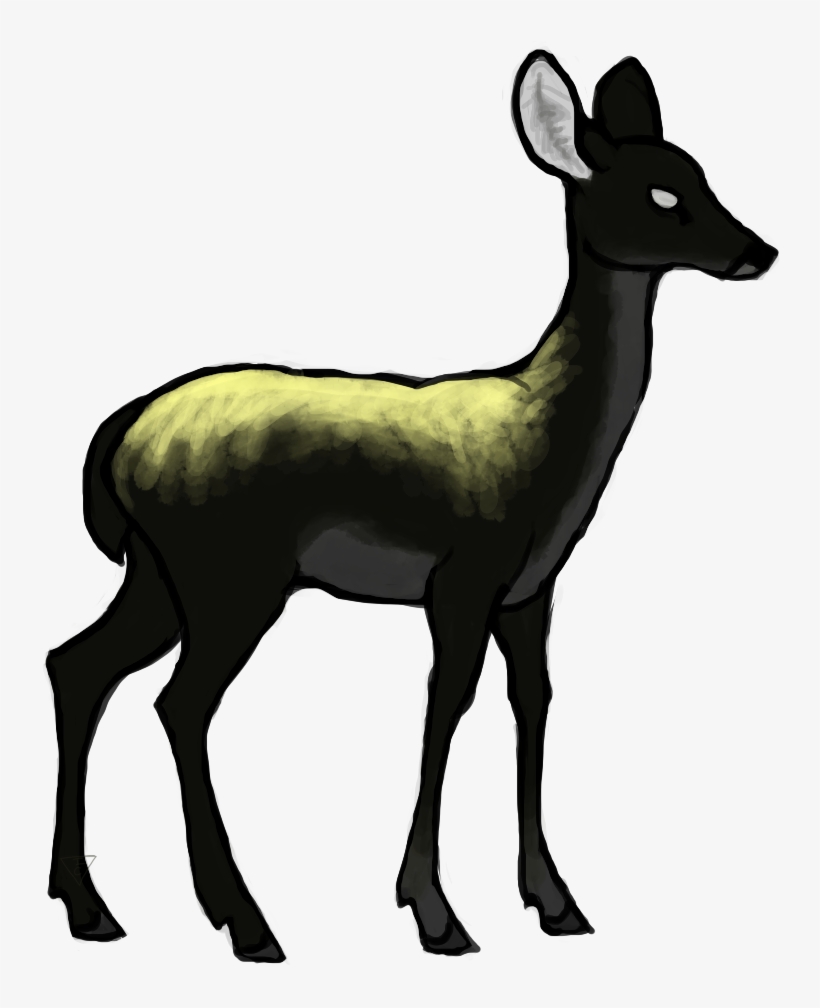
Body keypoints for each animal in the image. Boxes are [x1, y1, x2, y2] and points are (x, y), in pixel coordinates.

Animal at [47, 51, 777, 961]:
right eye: (662, 195)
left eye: (700, 173)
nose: (760, 251)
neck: (543, 435)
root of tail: (120, 434)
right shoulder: (463, 578)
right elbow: (444, 706)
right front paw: (436, 914)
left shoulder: (530, 590)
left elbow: (532, 703)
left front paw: (557, 903)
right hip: (231, 578)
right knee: (179, 703)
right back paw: (246, 923)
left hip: (158, 574)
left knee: (78, 666)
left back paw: (91, 908)